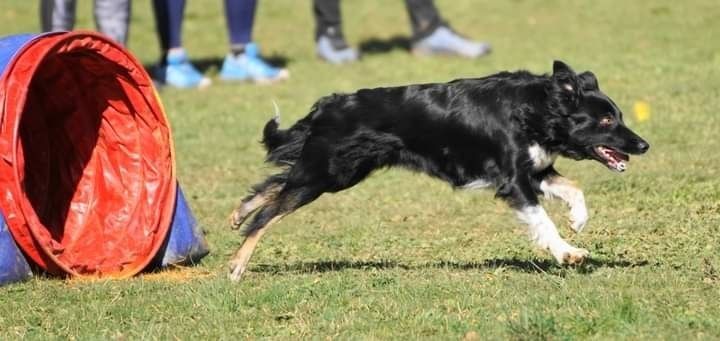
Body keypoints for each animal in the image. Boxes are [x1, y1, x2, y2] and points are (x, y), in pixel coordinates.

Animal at [228, 60, 648, 278]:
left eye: (619, 116)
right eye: (606, 120)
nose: (644, 145)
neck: (535, 110)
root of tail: (326, 106)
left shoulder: (533, 170)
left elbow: (574, 186)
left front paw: (578, 219)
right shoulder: (514, 180)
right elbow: (543, 221)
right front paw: (568, 253)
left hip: (339, 171)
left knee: (273, 185)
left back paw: (238, 213)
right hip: (327, 173)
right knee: (270, 211)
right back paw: (236, 265)